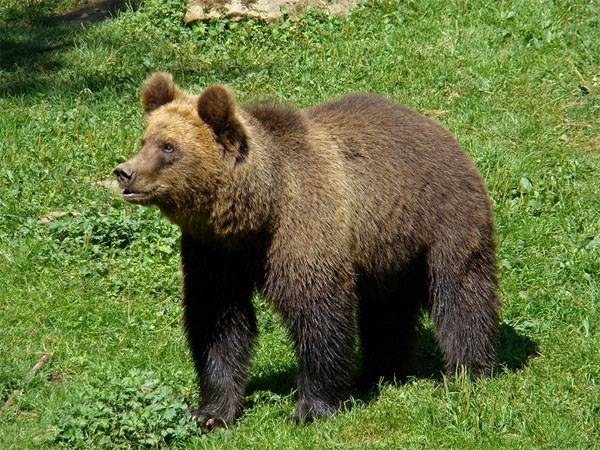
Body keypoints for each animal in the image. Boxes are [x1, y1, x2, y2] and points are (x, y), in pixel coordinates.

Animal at [113, 72, 502, 430]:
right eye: (144, 139)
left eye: (168, 147)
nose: (124, 172)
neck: (258, 212)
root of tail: (441, 129)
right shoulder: (214, 252)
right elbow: (217, 321)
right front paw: (212, 412)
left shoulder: (303, 227)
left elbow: (318, 313)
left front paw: (312, 409)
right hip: (387, 248)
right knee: (386, 309)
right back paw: (382, 370)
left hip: (442, 219)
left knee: (460, 292)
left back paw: (467, 370)